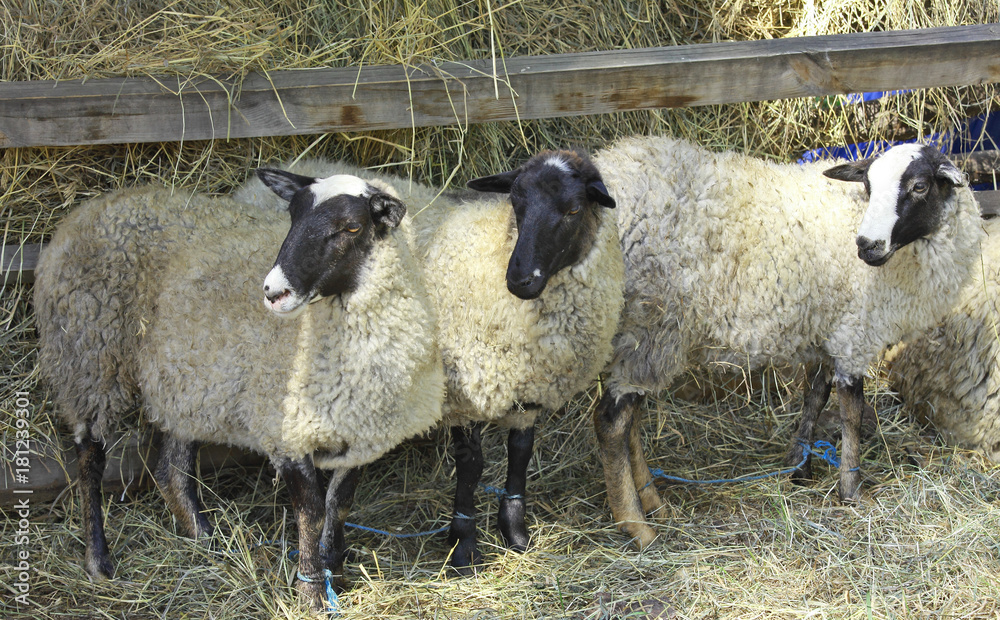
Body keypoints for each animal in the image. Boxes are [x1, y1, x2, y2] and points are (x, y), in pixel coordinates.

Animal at [33, 171, 444, 609]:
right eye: (291, 215)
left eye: (351, 227)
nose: (274, 291)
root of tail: (91, 208)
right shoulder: (285, 431)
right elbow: (312, 512)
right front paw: (312, 590)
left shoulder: (364, 433)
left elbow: (340, 503)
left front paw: (334, 564)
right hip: (88, 356)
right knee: (90, 457)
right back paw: (98, 559)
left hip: (185, 380)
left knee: (171, 471)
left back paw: (208, 540)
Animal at [237, 156, 624, 572]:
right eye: (516, 203)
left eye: (574, 209)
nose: (520, 279)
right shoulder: (462, 393)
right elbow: (471, 465)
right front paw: (464, 544)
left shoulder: (530, 386)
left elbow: (521, 452)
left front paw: (514, 531)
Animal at [473, 137, 985, 549]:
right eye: (870, 187)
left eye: (919, 187)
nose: (867, 246)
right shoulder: (855, 334)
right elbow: (852, 415)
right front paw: (851, 490)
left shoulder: (826, 330)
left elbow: (814, 397)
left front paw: (798, 466)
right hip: (651, 326)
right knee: (611, 422)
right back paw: (636, 525)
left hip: (635, 336)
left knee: (627, 418)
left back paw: (652, 498)